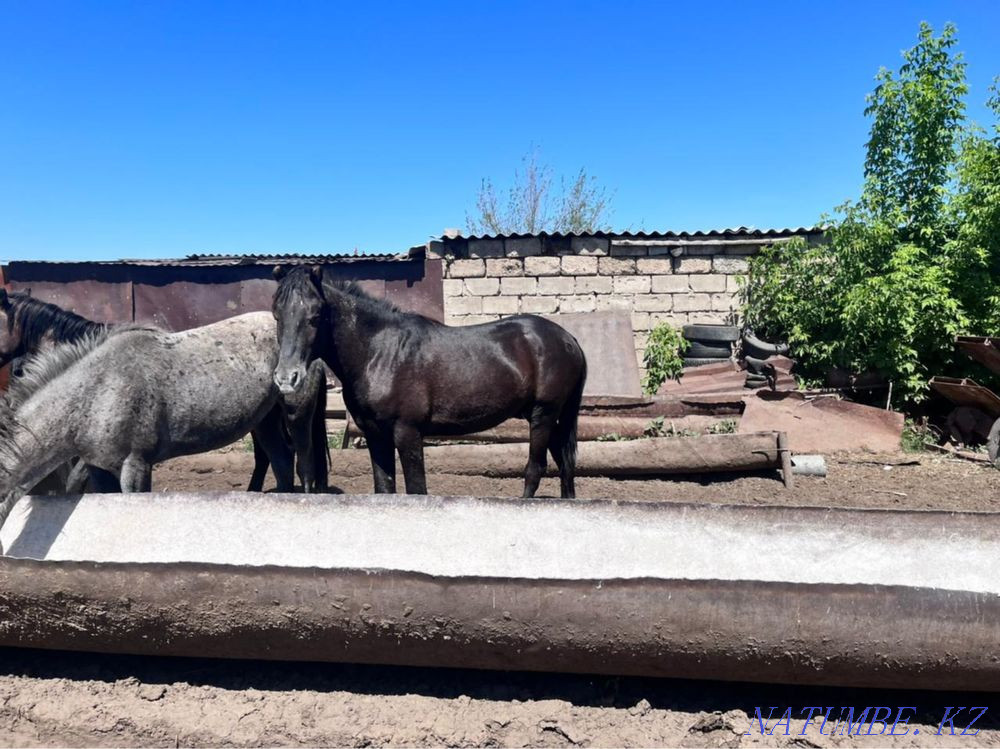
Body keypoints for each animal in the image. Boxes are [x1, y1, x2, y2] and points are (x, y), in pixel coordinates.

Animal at [271, 265, 587, 498]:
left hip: (543, 415)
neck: (379, 351)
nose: (287, 378)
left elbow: (417, 490)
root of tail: (568, 339)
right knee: (565, 466)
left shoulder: (407, 432)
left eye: (316, 315)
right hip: (549, 418)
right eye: (277, 314)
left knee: (536, 469)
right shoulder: (375, 434)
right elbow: (384, 488)